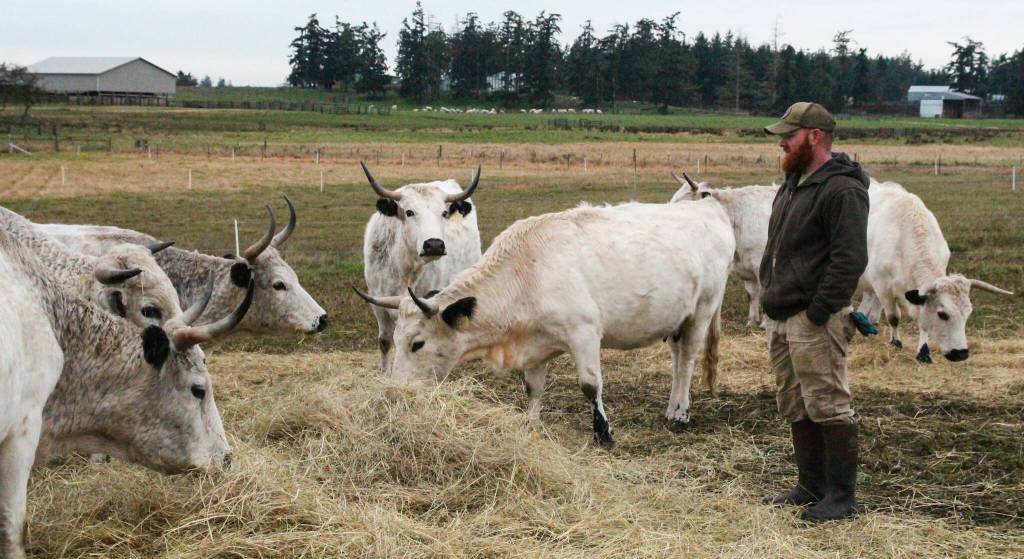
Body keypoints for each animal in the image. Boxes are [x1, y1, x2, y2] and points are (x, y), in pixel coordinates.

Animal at [356, 199, 735, 446]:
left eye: (417, 343)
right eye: (398, 339)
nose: (396, 392)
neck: (528, 270)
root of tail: (709, 209)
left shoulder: (584, 333)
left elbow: (590, 386)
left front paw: (604, 433)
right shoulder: (535, 345)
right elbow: (533, 388)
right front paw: (529, 425)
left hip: (702, 311)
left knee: (687, 361)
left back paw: (681, 413)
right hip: (677, 319)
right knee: (677, 360)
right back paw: (671, 407)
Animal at [360, 162, 483, 372]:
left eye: (443, 213)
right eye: (409, 212)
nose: (434, 244)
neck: (403, 269)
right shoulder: (378, 304)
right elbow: (385, 341)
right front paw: (384, 372)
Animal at [670, 172, 779, 328]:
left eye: (683, 204)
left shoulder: (761, 264)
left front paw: (764, 323)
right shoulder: (746, 266)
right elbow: (751, 294)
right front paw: (751, 321)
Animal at [856, 182, 1014, 362]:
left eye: (968, 313)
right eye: (943, 314)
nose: (961, 354)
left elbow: (923, 320)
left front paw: (923, 353)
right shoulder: (884, 288)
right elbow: (894, 318)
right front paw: (896, 343)